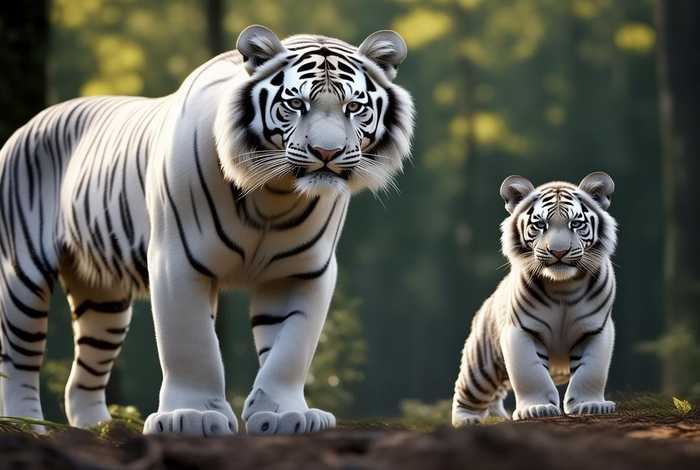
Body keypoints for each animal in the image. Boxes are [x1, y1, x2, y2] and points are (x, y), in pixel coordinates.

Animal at [0, 25, 414, 436]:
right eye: (296, 104)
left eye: (354, 107)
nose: (327, 153)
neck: (275, 194)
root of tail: (31, 122)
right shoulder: (177, 262)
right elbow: (193, 343)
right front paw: (192, 417)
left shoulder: (301, 271)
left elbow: (292, 347)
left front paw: (285, 416)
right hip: (22, 277)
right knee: (18, 358)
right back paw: (25, 426)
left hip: (104, 300)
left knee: (81, 376)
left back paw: (98, 429)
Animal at [452, 172, 617, 425]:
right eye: (540, 224)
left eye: (576, 224)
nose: (559, 252)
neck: (563, 287)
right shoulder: (520, 330)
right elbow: (530, 373)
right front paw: (536, 409)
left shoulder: (596, 329)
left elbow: (591, 370)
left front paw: (590, 405)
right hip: (481, 367)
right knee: (467, 392)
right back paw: (467, 420)